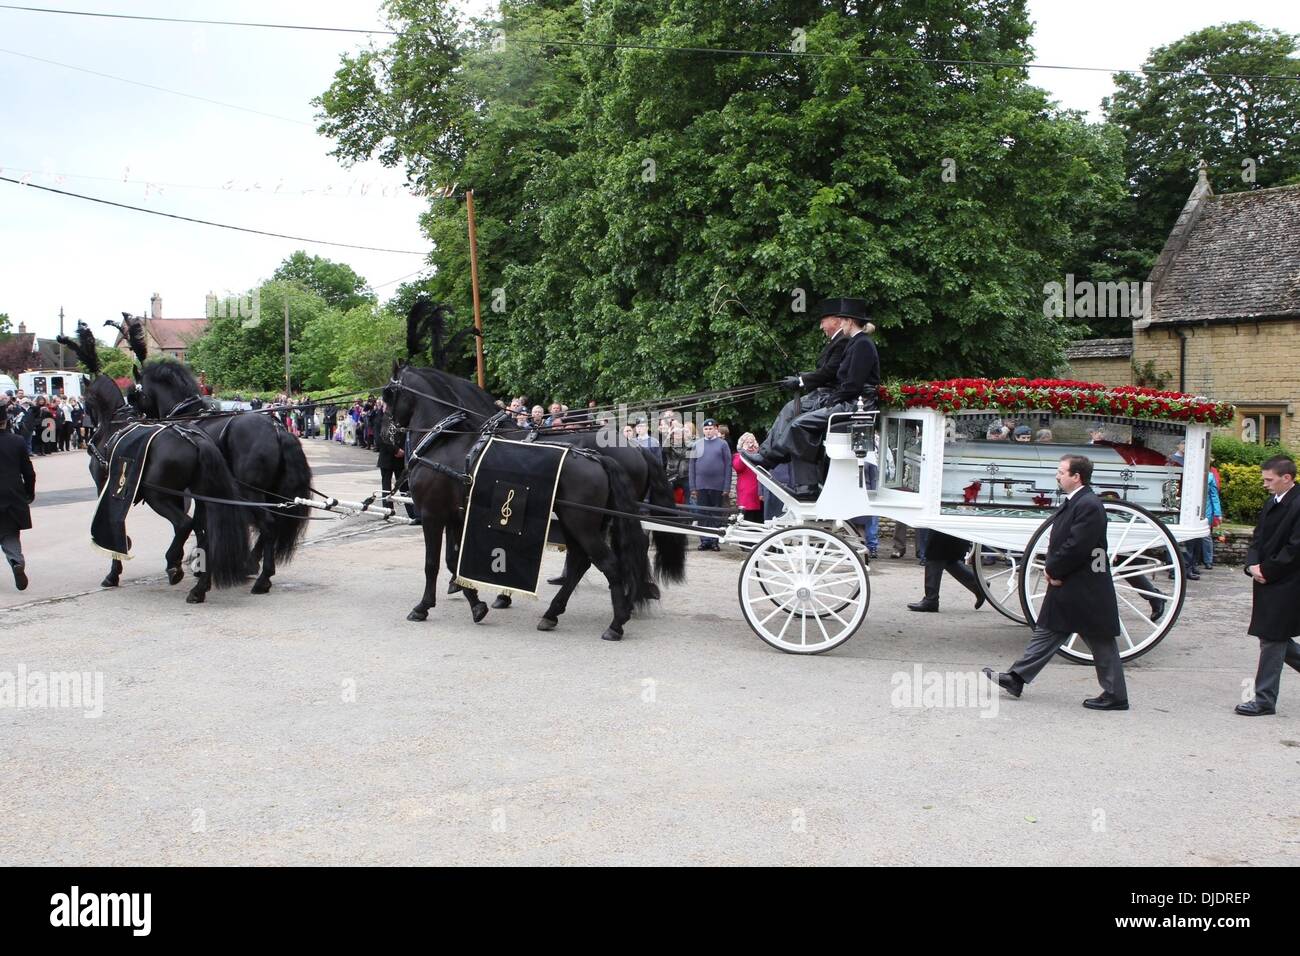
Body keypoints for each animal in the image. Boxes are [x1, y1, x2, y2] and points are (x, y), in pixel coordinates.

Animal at [56, 325, 248, 600]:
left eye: (86, 399)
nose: (85, 424)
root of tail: (194, 440)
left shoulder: (105, 486)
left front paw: (115, 569)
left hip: (159, 496)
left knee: (184, 524)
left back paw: (175, 567)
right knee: (204, 532)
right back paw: (200, 585)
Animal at [131, 361, 312, 595]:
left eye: (135, 395)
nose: (132, 417)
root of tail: (277, 430)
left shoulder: (199, 493)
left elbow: (198, 526)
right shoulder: (204, 493)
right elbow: (201, 525)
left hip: (251, 493)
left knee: (268, 525)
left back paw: (263, 578)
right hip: (271, 493)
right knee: (272, 525)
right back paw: (252, 564)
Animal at [382, 358, 681, 642]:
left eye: (387, 395)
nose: (387, 434)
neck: (445, 442)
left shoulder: (432, 515)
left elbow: (432, 564)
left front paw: (424, 606)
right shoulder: (456, 517)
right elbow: (452, 562)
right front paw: (476, 602)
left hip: (583, 523)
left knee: (610, 562)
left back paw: (618, 621)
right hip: (583, 522)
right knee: (585, 560)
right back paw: (558, 612)